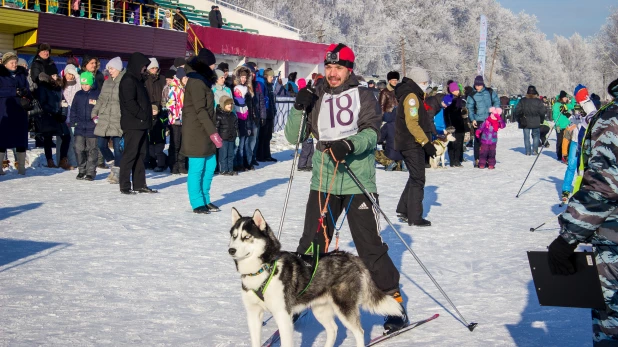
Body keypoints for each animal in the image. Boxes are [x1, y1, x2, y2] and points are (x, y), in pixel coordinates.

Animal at [229, 209, 402, 347]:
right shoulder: (253, 315)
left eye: (247, 237)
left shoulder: (283, 315)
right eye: (234, 236)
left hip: (344, 307)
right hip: (320, 309)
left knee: (359, 332)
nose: (231, 250)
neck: (262, 270)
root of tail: (349, 256)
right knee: (333, 329)